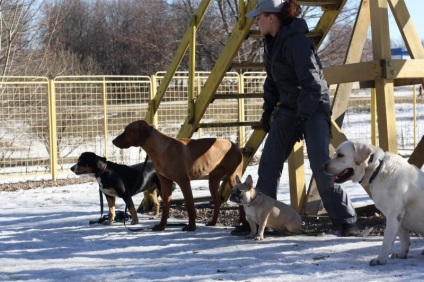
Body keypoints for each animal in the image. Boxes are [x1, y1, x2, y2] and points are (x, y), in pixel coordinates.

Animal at [112, 119, 243, 231]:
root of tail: (233, 144)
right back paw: (213, 222)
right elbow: (165, 205)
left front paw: (191, 227)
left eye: (127, 130)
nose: (113, 141)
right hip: (213, 180)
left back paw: (242, 222)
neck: (161, 149)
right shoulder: (165, 182)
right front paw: (161, 226)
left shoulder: (184, 181)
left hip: (233, 177)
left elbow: (190, 205)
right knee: (217, 202)